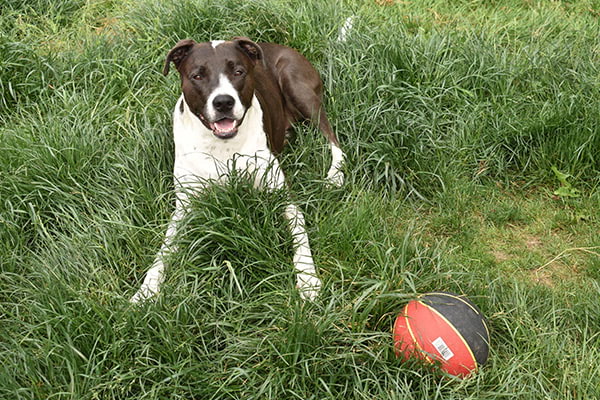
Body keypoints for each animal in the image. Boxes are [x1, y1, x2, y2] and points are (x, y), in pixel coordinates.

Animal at [130, 37, 346, 304]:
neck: (222, 146)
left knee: (332, 137)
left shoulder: (283, 197)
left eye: (238, 72)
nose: (223, 102)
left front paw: (307, 278)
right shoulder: (185, 207)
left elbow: (300, 234)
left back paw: (335, 174)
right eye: (197, 76)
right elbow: (165, 249)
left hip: (298, 86)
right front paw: (146, 290)